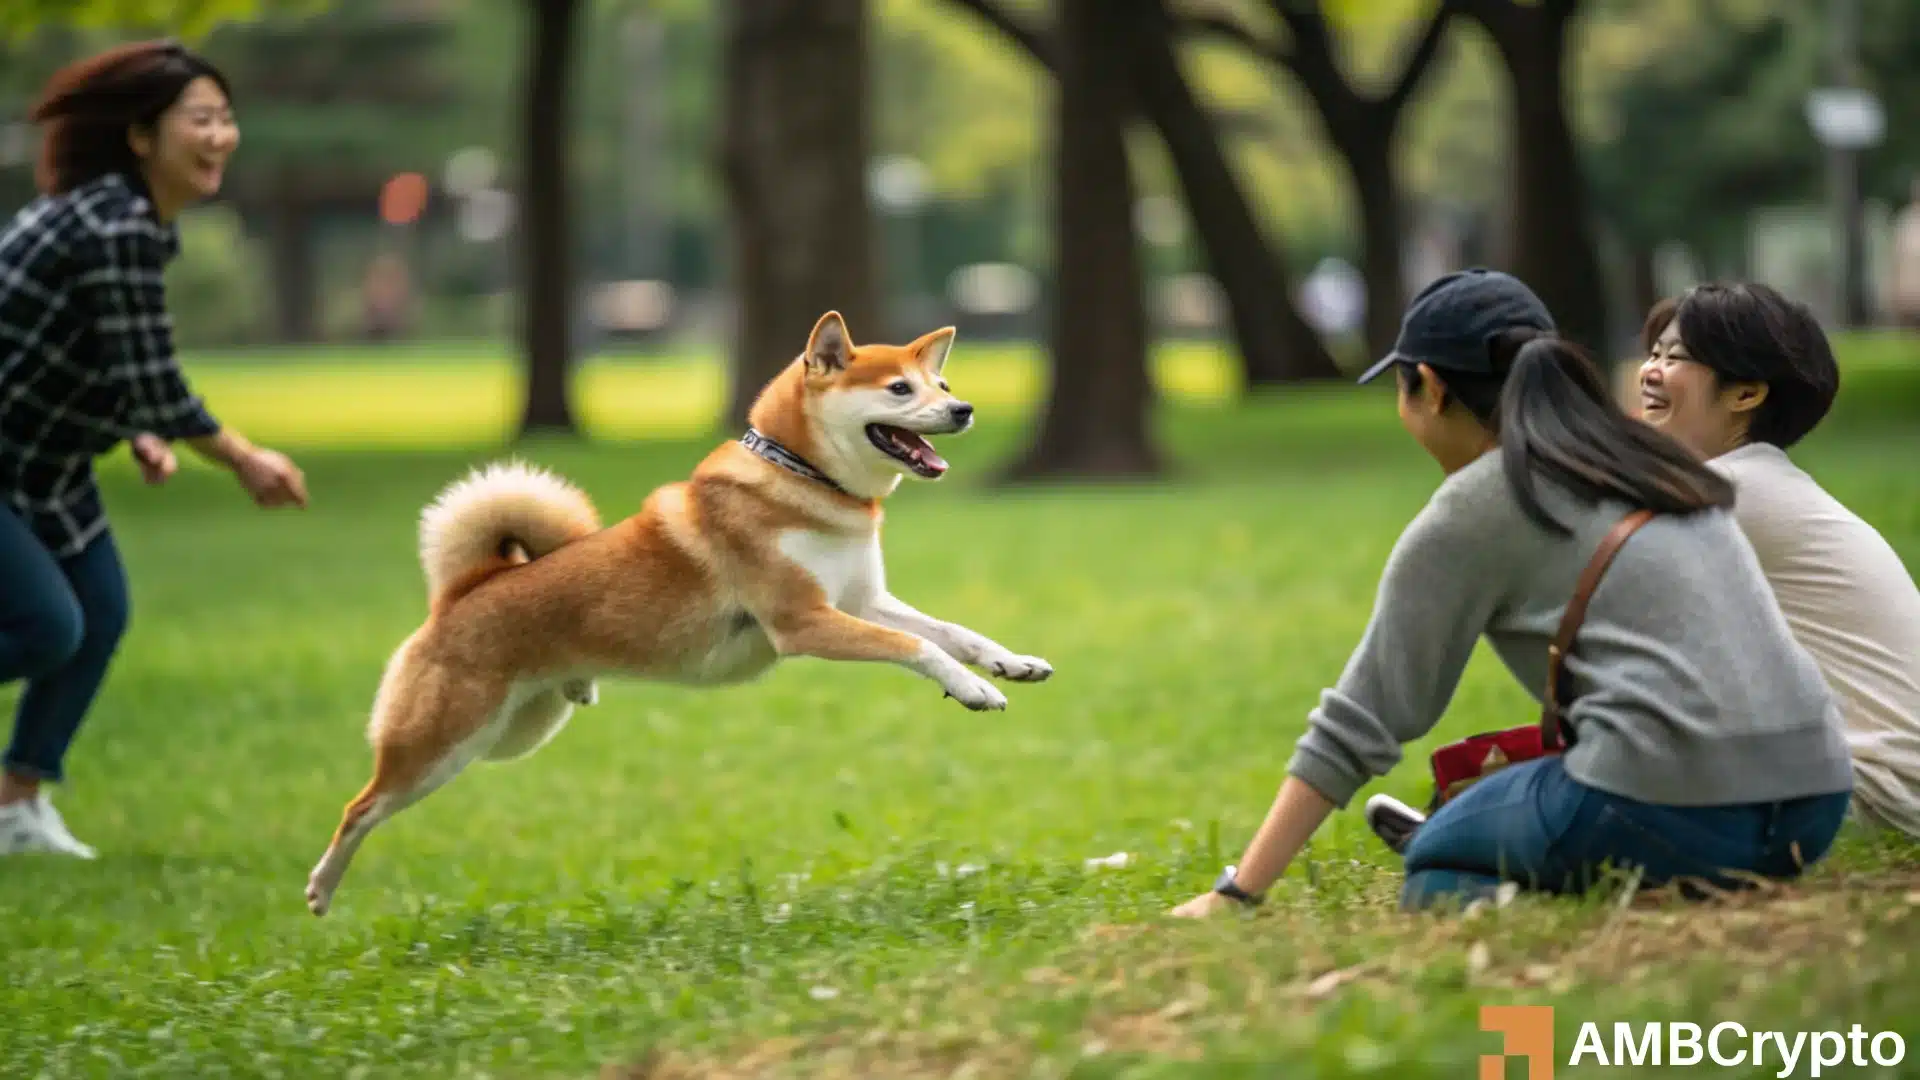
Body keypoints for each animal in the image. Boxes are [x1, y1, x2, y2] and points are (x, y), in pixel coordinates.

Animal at [303, 309, 1052, 907]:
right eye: (900, 389)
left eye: (941, 386)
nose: (964, 410)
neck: (803, 481)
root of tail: (463, 592)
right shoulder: (804, 622)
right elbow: (918, 648)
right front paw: (975, 689)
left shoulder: (863, 601)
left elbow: (950, 631)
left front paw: (1007, 664)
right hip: (445, 741)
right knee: (360, 806)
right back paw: (321, 887)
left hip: (516, 732)